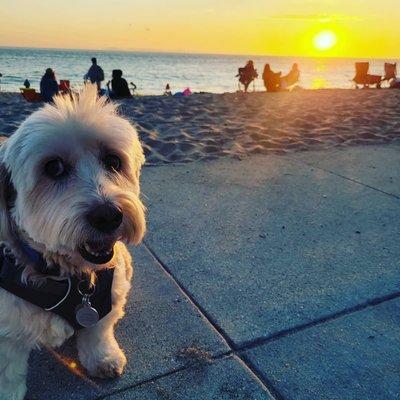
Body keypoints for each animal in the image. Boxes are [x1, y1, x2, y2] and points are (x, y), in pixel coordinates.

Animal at [0, 85, 146, 400]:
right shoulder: (6, 327)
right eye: (53, 167)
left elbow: (98, 330)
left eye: (113, 161)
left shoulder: (108, 296)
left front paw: (103, 358)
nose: (108, 215)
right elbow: (7, 369)